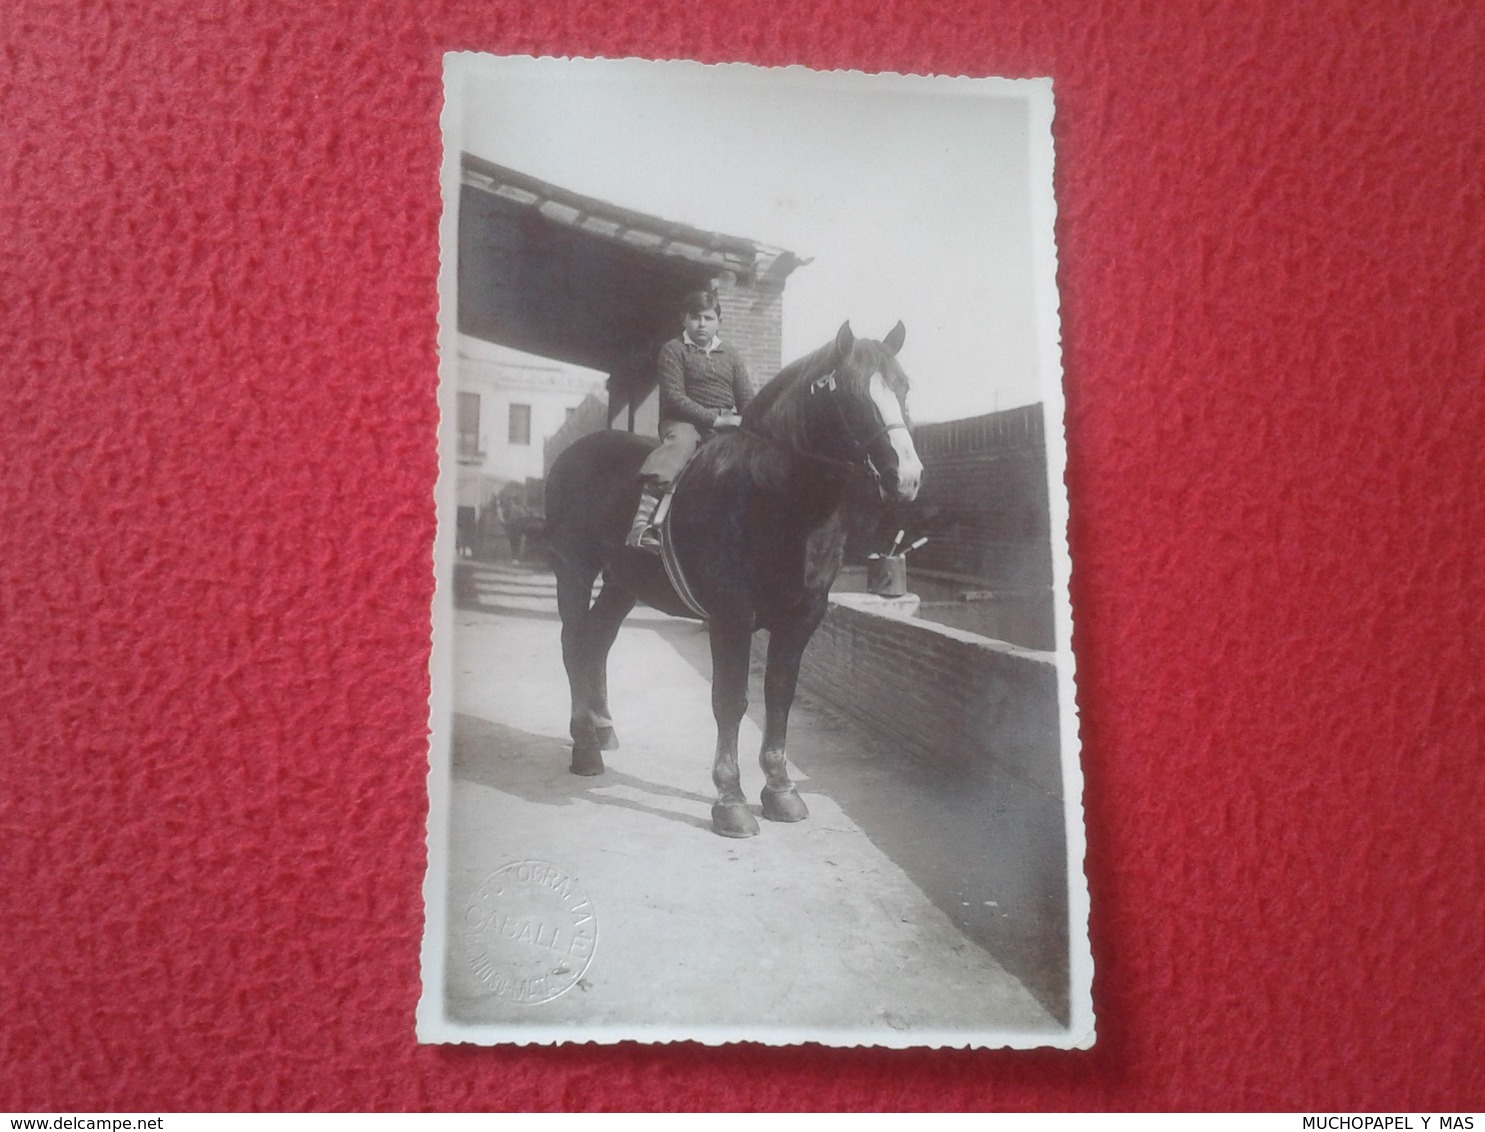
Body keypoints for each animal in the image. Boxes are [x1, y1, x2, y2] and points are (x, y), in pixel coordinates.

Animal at [540, 322, 920, 831]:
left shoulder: (804, 617)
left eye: (903, 386)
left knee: (597, 640)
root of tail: (573, 454)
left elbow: (778, 695)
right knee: (574, 643)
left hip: (622, 583)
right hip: (574, 570)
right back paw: (584, 747)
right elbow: (730, 699)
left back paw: (603, 730)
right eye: (851, 393)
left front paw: (780, 791)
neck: (773, 496)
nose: (907, 477)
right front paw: (730, 800)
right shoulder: (731, 616)